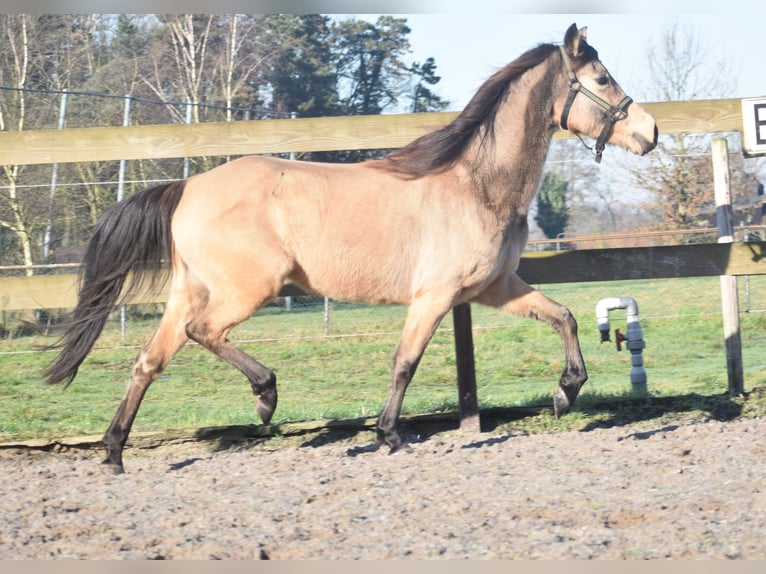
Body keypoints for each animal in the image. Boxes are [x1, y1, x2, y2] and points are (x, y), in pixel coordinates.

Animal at [46, 24, 660, 474]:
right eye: (602, 78)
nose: (650, 132)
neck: (475, 184)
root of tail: (188, 187)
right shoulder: (436, 296)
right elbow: (405, 363)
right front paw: (390, 436)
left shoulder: (493, 288)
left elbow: (564, 317)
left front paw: (565, 394)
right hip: (249, 290)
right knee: (205, 333)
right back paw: (265, 396)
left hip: (188, 291)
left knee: (149, 360)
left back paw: (114, 453)